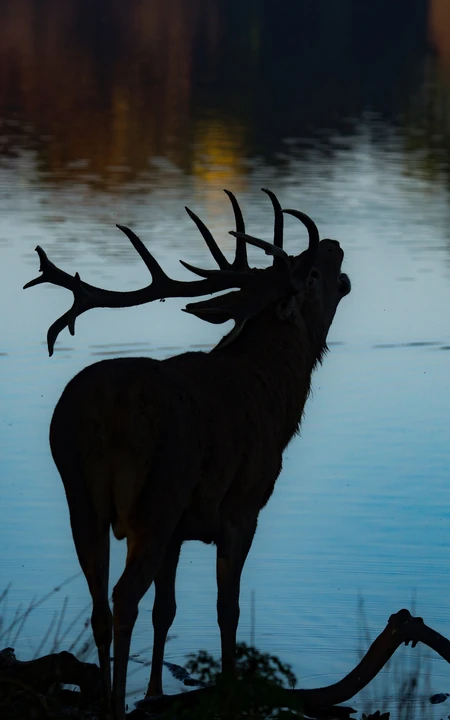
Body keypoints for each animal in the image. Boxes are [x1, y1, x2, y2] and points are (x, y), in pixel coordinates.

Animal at [24, 189, 351, 720]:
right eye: (311, 275)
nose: (336, 246)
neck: (278, 393)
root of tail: (104, 412)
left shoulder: (180, 529)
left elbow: (167, 610)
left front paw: (156, 693)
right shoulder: (242, 507)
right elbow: (227, 609)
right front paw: (231, 688)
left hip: (81, 498)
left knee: (100, 603)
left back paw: (108, 697)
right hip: (156, 496)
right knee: (123, 596)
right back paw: (114, 704)